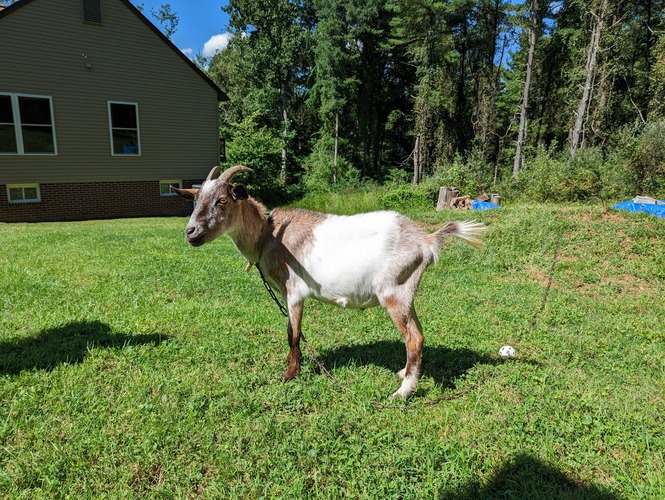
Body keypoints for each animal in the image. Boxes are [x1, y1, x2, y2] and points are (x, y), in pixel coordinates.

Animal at [173, 165, 486, 398]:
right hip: (407, 293)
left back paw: (403, 391)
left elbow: (293, 334)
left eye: (222, 200)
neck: (267, 236)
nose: (191, 232)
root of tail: (426, 240)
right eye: (196, 201)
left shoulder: (294, 292)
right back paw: (405, 373)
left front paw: (289, 375)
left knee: (414, 338)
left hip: (393, 292)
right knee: (419, 333)